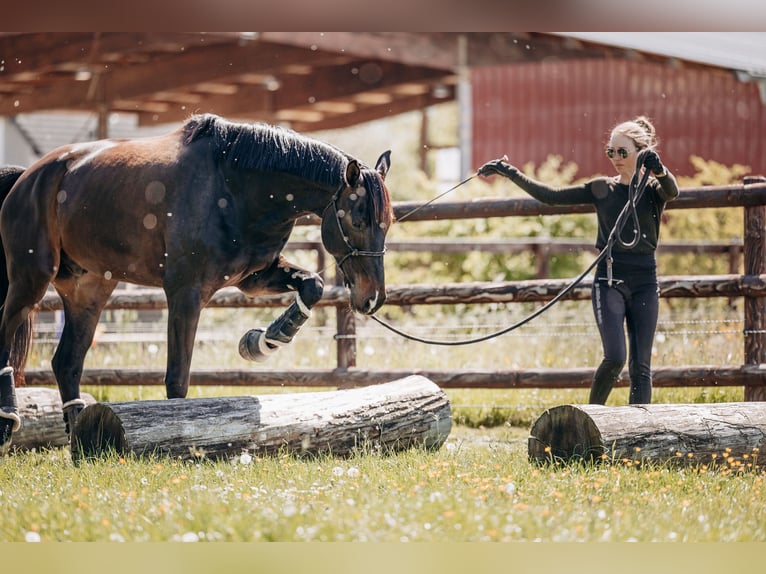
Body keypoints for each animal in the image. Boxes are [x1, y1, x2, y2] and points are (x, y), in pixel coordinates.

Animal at [0, 113, 394, 452]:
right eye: (357, 221)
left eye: (387, 222)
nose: (372, 299)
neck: (234, 187)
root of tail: (27, 177)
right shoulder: (186, 293)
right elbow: (178, 378)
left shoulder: (254, 278)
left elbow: (312, 285)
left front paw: (264, 341)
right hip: (31, 279)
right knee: (8, 337)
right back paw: (8, 422)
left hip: (89, 290)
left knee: (67, 362)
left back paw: (78, 438)